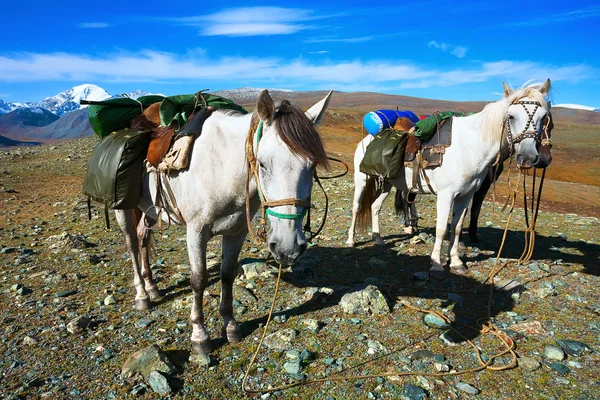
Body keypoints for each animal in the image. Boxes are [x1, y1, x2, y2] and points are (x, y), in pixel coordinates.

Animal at [113, 90, 332, 354]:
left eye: (312, 166)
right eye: (262, 163)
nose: (287, 248)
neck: (222, 168)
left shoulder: (236, 232)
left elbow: (228, 274)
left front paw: (231, 326)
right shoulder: (196, 231)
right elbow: (198, 280)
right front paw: (200, 335)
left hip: (150, 210)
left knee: (143, 237)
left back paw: (152, 287)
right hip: (124, 208)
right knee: (132, 244)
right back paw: (142, 295)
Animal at [346, 78, 552, 278]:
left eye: (544, 118)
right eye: (511, 116)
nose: (528, 157)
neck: (470, 146)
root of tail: (367, 138)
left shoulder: (466, 195)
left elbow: (457, 227)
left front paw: (456, 262)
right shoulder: (446, 195)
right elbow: (442, 228)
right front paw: (437, 264)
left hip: (388, 183)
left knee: (375, 206)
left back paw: (378, 238)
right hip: (362, 179)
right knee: (357, 207)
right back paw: (351, 240)